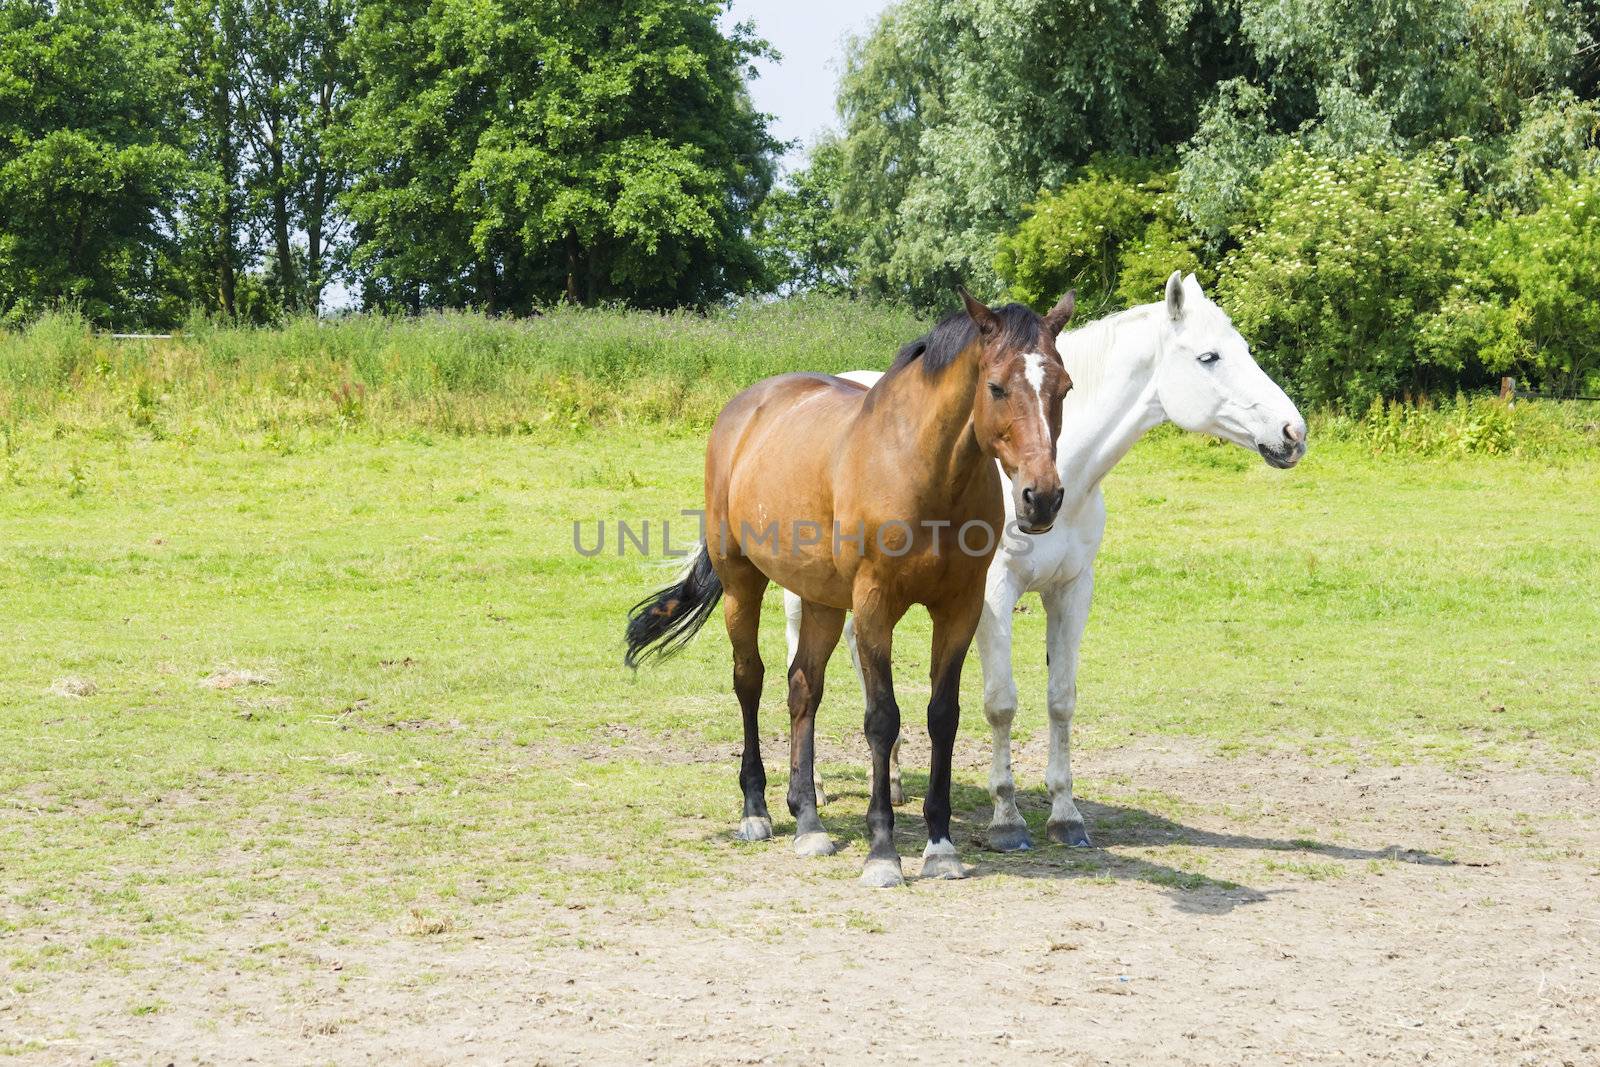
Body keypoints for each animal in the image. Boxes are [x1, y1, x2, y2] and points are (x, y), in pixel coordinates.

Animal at [624, 287, 1075, 889]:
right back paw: (756, 811)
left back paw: (808, 822)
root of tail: (745, 408)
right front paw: (883, 851)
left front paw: (940, 845)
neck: (922, 469)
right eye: (997, 386)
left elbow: (943, 716)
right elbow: (882, 718)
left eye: (1063, 387)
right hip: (744, 582)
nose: (1041, 498)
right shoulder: (875, 607)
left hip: (820, 599)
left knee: (802, 687)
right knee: (750, 681)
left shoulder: (958, 608)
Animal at [784, 273, 1299, 851]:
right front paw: (1007, 818)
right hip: (805, 591)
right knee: (801, 670)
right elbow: (1000, 702)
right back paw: (811, 791)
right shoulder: (991, 594)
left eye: (1245, 350)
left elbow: (1061, 699)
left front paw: (1065, 813)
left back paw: (891, 779)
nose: (1292, 432)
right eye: (1209, 357)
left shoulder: (1072, 589)